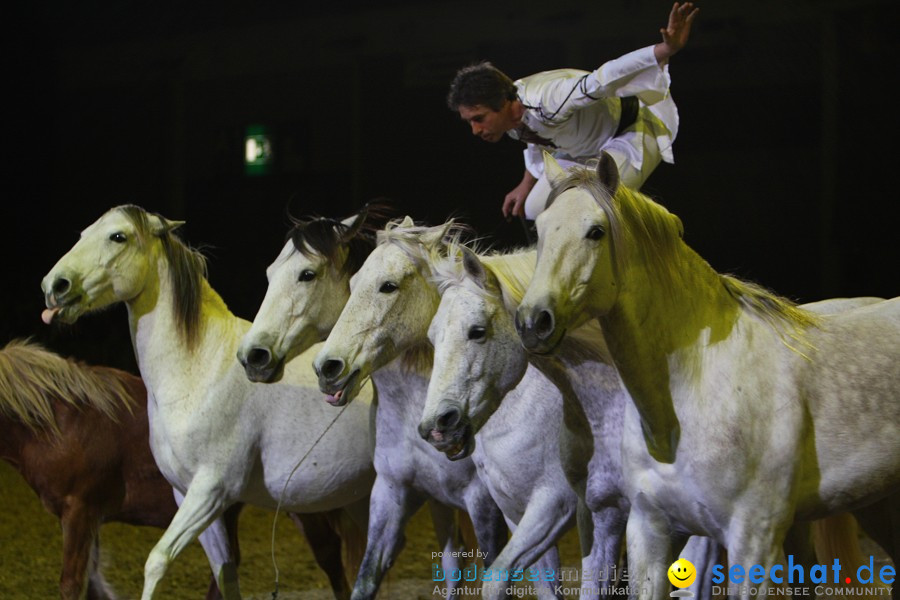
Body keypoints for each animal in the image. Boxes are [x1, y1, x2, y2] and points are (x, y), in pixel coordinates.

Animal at [39, 206, 372, 600]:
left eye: (118, 236)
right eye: (84, 233)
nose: (54, 286)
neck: (198, 370)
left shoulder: (211, 490)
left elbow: (157, 561)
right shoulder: (189, 497)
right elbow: (225, 575)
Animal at [236, 211, 510, 600]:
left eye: (307, 274)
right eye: (271, 273)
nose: (253, 355)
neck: (414, 407)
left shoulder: (484, 504)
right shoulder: (393, 493)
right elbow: (368, 576)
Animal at [316, 219, 584, 596]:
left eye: (388, 286)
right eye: (352, 285)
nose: (327, 367)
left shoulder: (490, 501)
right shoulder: (393, 491)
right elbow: (368, 576)